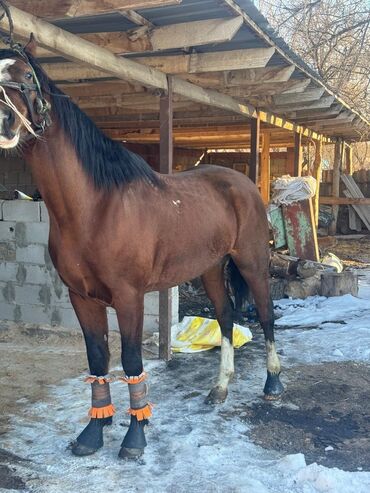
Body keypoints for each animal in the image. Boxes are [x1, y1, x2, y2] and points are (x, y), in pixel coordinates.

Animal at [0, 40, 284, 460]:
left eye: (26, 76)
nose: (4, 120)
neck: (95, 208)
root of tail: (243, 183)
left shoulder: (128, 297)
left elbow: (131, 360)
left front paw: (135, 437)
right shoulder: (82, 297)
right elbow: (97, 359)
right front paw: (93, 432)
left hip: (251, 261)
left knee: (265, 314)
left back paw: (273, 384)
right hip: (211, 268)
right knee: (226, 317)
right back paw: (219, 389)